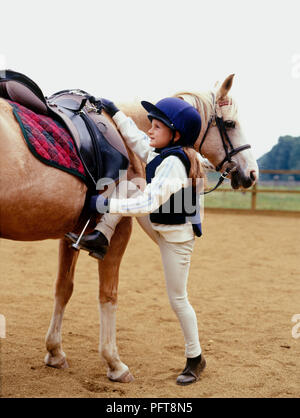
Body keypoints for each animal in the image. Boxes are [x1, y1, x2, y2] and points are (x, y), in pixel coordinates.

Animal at [0, 74, 258, 382]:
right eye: (230, 124)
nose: (252, 173)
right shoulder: (119, 232)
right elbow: (108, 294)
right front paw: (114, 363)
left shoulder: (71, 232)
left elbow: (64, 288)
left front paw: (55, 352)